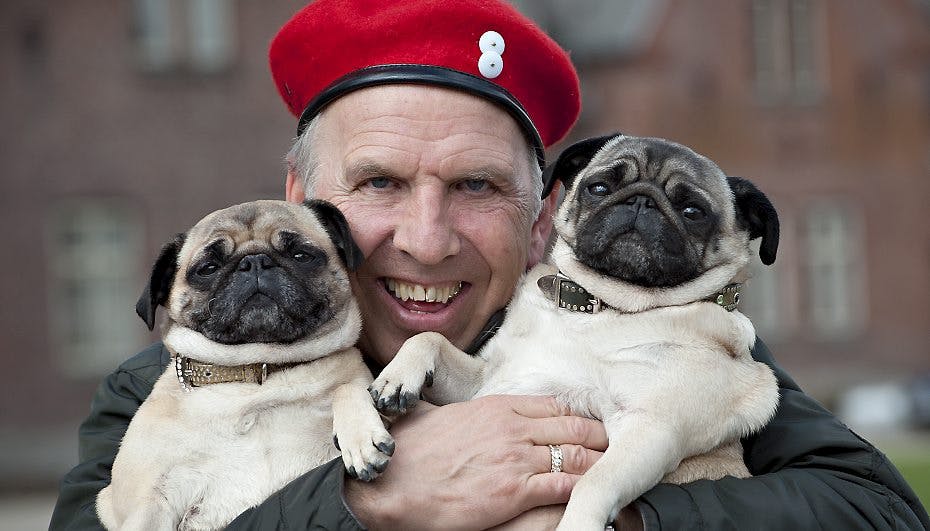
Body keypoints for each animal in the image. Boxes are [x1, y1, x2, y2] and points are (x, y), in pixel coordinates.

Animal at [96, 201, 394, 531]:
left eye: (301, 255)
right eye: (208, 268)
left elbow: (349, 388)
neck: (255, 373)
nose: (254, 262)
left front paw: (361, 436)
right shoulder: (149, 505)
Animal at [370, 134, 784, 531]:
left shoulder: (651, 429)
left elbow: (593, 483)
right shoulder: (481, 382)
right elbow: (429, 339)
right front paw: (397, 377)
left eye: (693, 212)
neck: (600, 306)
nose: (641, 201)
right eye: (599, 187)